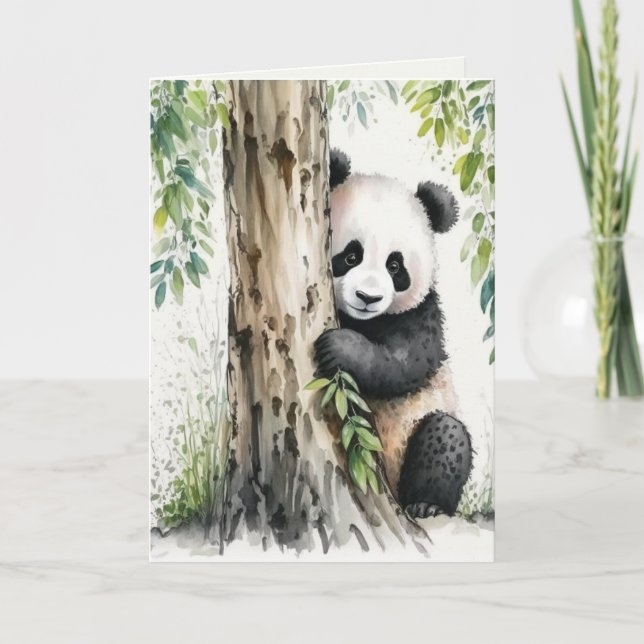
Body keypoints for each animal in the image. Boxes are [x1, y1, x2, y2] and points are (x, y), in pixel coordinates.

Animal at [314, 149, 472, 519]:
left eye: (395, 266)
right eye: (351, 255)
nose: (368, 297)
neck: (364, 320)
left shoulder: (422, 315)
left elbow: (404, 364)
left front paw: (339, 347)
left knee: (447, 437)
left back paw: (427, 503)